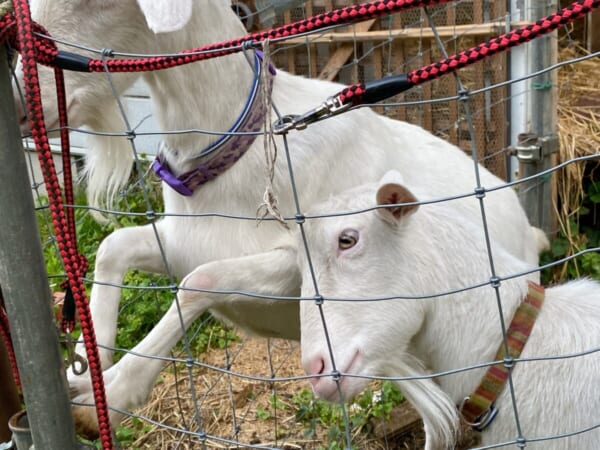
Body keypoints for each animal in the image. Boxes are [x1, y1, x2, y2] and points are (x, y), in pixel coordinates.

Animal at [15, 0, 548, 436]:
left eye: (96, 0)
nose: (22, 101)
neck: (246, 147)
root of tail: (532, 231)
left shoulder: (298, 266)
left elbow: (198, 281)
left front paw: (113, 392)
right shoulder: (184, 240)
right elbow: (115, 247)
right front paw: (87, 366)